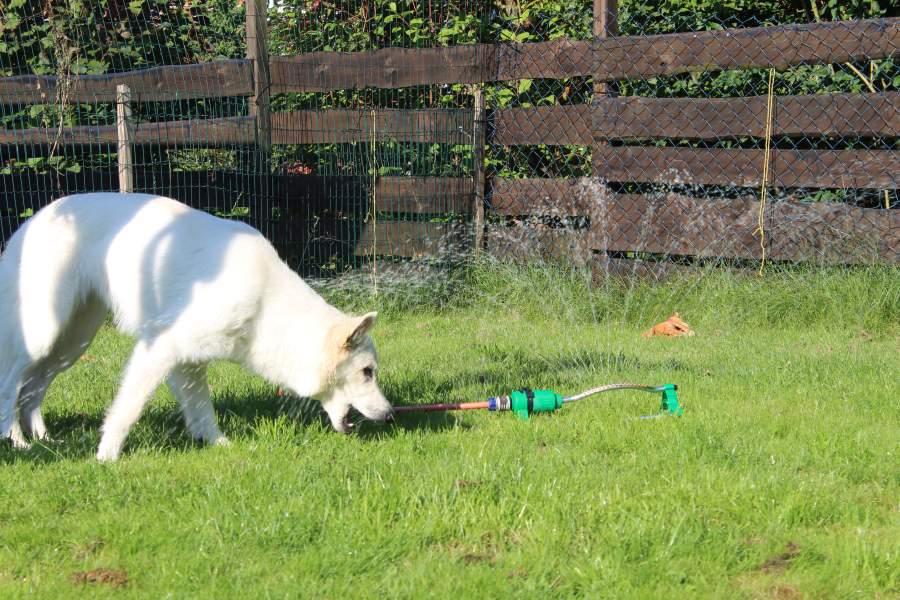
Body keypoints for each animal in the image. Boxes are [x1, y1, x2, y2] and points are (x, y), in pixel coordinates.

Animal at [0, 193, 392, 461]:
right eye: (367, 372)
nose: (390, 415)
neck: (265, 304)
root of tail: (33, 220)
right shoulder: (159, 349)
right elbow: (128, 408)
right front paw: (106, 456)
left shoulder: (186, 364)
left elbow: (201, 410)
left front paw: (216, 444)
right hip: (43, 334)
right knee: (10, 386)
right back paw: (16, 442)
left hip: (72, 341)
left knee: (32, 390)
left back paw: (43, 439)